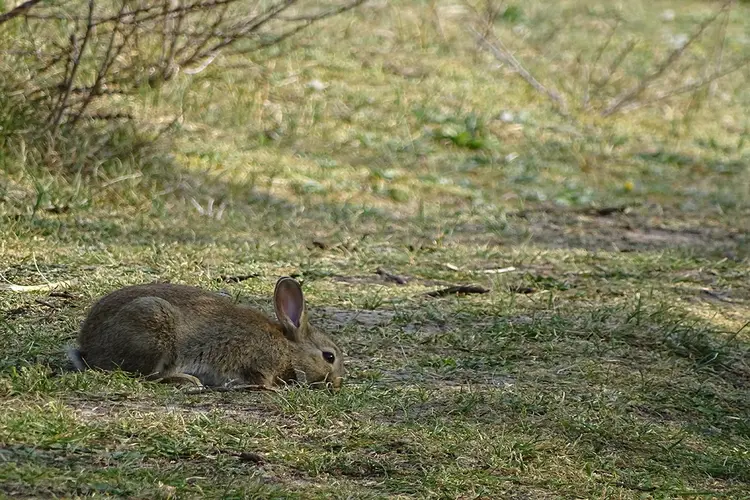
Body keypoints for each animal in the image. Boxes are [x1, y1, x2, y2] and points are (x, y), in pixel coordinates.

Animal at [66, 278, 346, 390]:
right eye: (329, 357)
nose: (337, 383)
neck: (289, 348)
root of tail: (88, 348)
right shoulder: (258, 363)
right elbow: (260, 379)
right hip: (155, 328)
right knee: (149, 376)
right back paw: (189, 381)